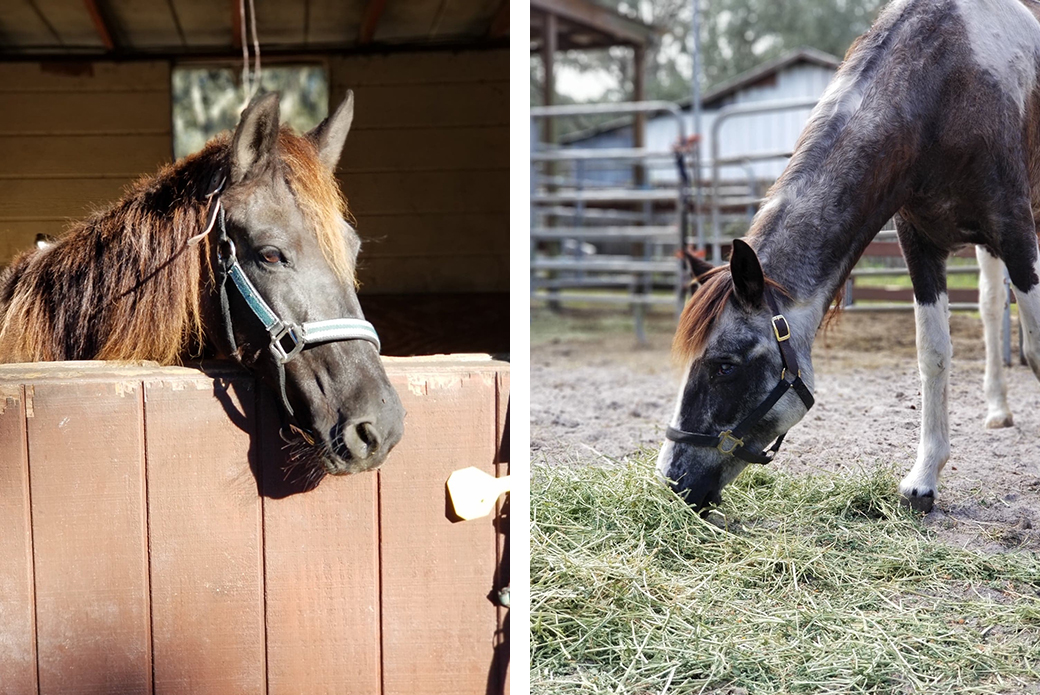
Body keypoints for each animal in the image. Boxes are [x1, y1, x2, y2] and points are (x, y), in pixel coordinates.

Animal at [657, 0, 1040, 509]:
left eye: (725, 366)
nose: (672, 479)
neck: (947, 87)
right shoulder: (920, 245)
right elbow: (933, 353)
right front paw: (924, 478)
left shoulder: (1016, 232)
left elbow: (1036, 349)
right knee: (991, 307)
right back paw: (998, 409)